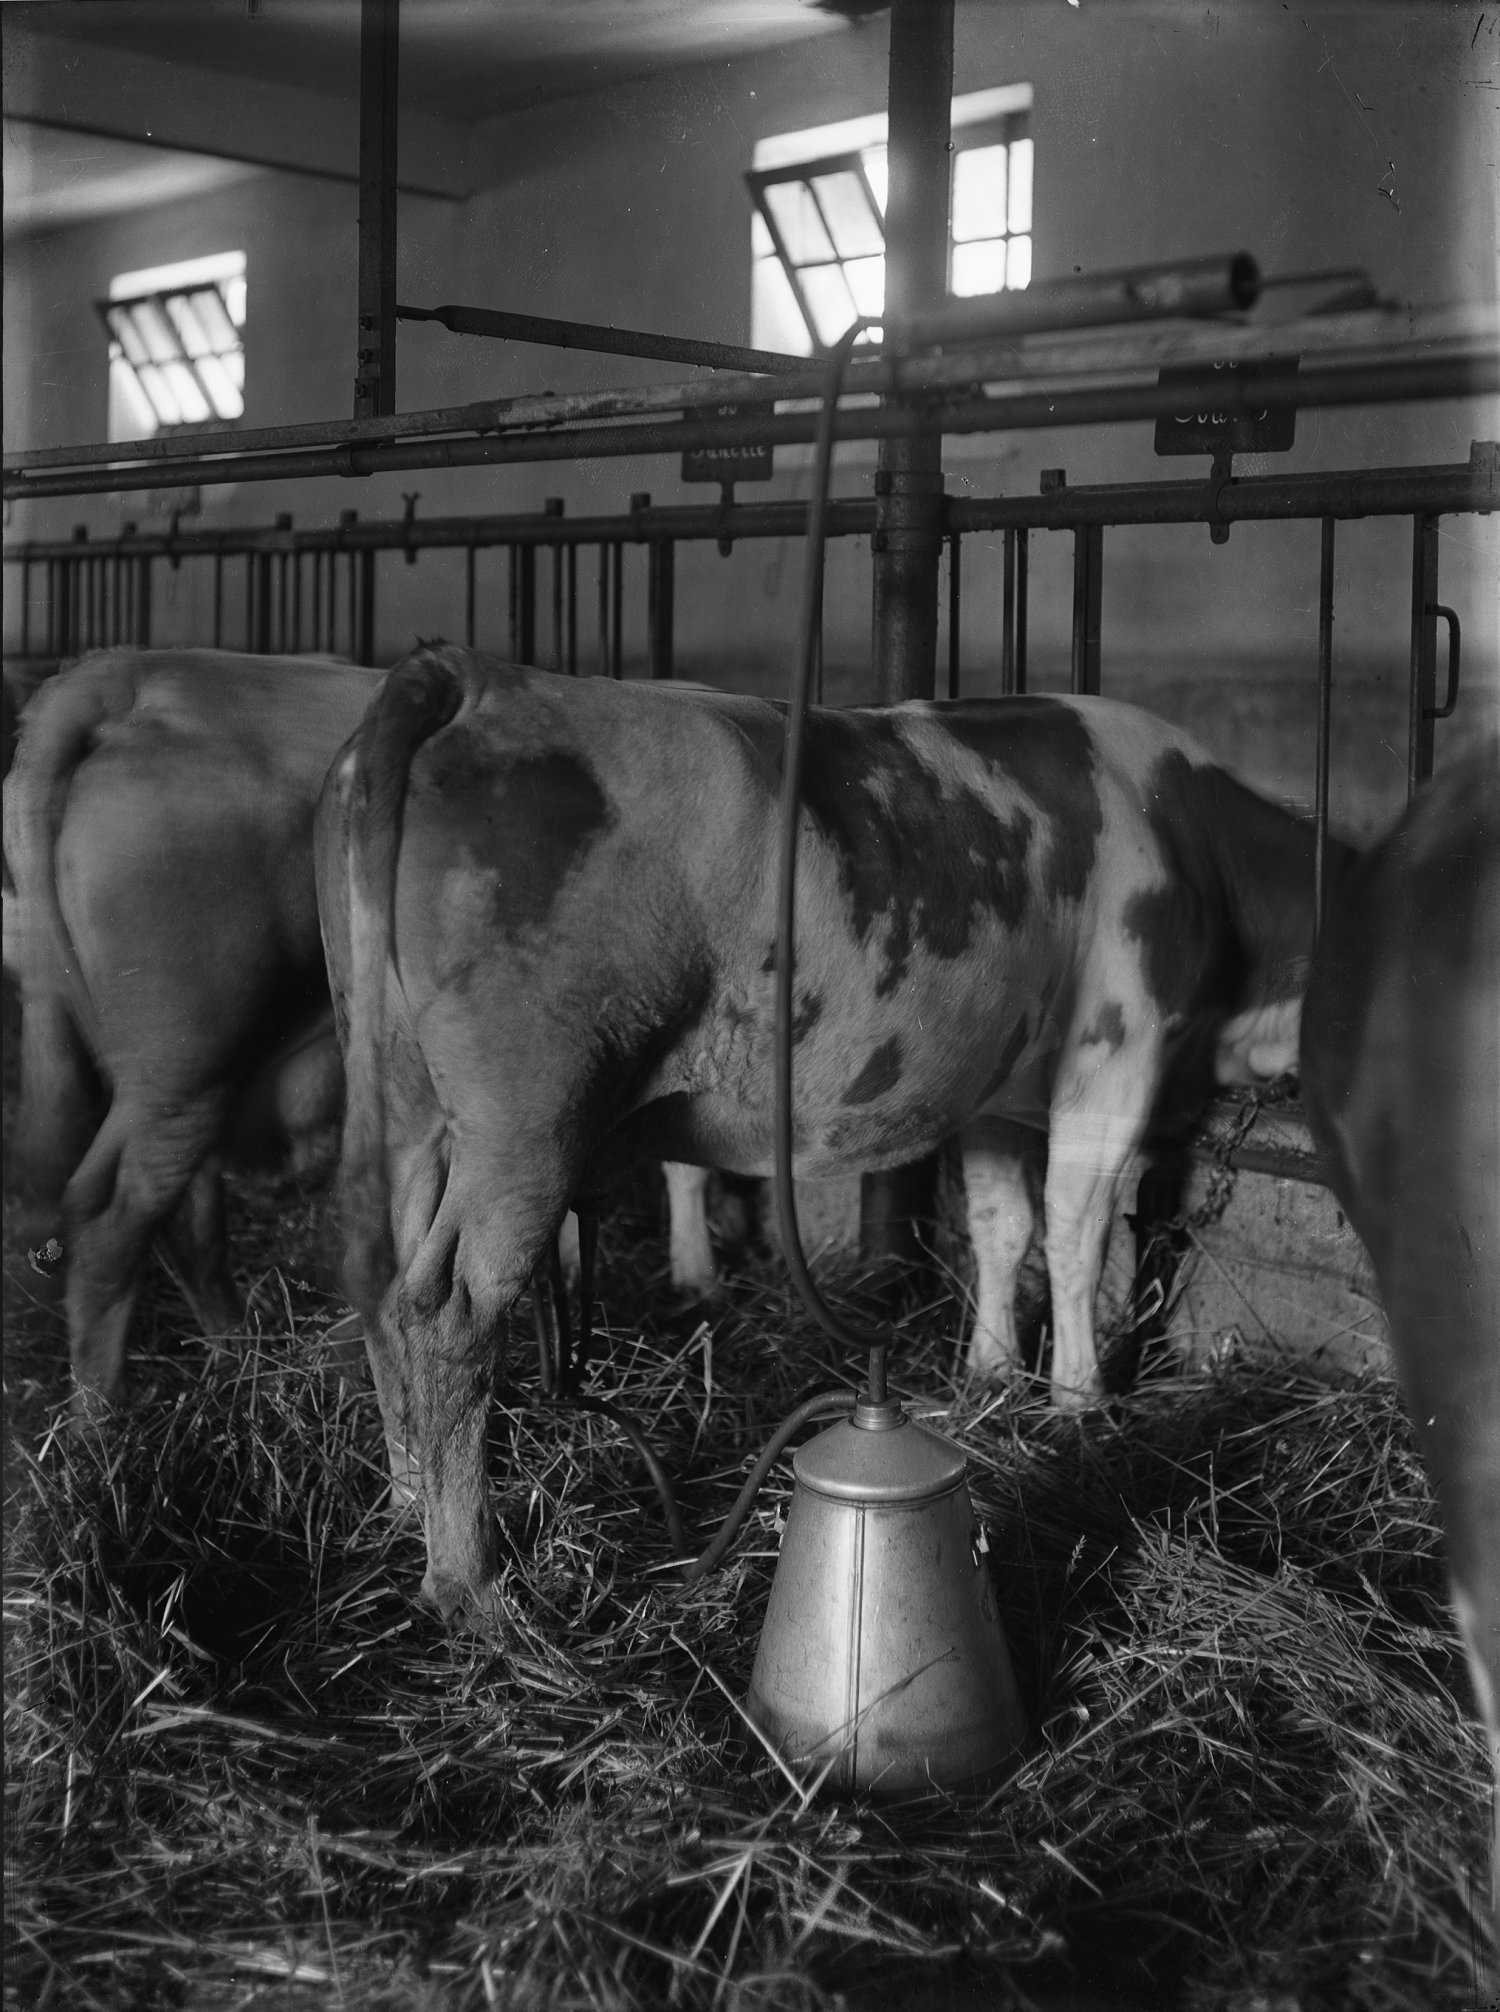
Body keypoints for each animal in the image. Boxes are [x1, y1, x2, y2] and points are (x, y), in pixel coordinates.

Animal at [7, 643, 380, 1400]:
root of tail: (141, 671)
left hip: (182, 1068)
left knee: (184, 1218)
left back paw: (238, 1362)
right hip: (189, 1056)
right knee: (110, 1217)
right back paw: (104, 1421)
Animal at [311, 643, 1343, 1617]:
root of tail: (475, 675)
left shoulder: (996, 1089)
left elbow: (1003, 1227)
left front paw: (990, 1374)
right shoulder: (1115, 1052)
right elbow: (1074, 1232)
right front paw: (1079, 1403)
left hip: (401, 1089)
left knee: (381, 1276)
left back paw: (406, 1495)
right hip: (528, 1117)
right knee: (450, 1308)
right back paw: (472, 1583)